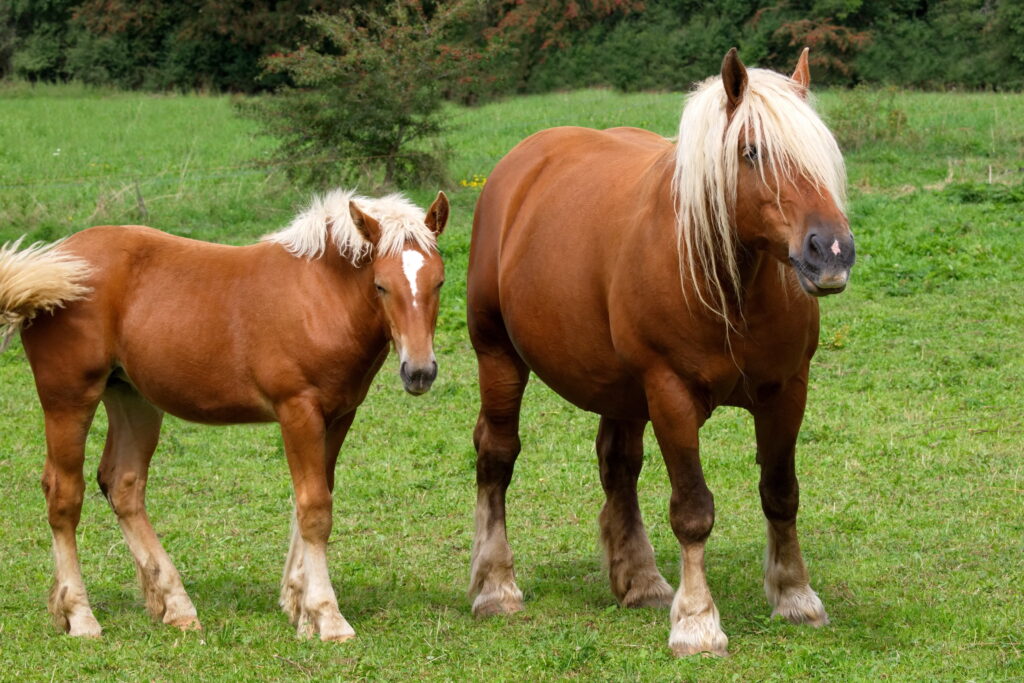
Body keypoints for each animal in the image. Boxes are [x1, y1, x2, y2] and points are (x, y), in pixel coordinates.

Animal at [0, 188, 449, 641]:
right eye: (380, 285)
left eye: (440, 282)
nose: (419, 372)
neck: (319, 295)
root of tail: (55, 260)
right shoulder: (298, 410)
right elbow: (315, 509)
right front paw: (328, 617)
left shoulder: (339, 415)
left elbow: (311, 498)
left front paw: (300, 608)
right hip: (69, 398)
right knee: (63, 494)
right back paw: (80, 616)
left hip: (132, 397)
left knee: (123, 484)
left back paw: (176, 606)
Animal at [466, 48, 854, 656]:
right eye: (751, 152)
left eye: (823, 153)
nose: (831, 251)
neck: (728, 286)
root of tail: (518, 167)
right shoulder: (671, 393)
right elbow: (693, 510)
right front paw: (697, 622)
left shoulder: (787, 391)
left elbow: (780, 493)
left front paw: (795, 596)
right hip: (499, 356)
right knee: (497, 457)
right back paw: (496, 586)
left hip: (620, 390)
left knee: (617, 465)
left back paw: (641, 580)